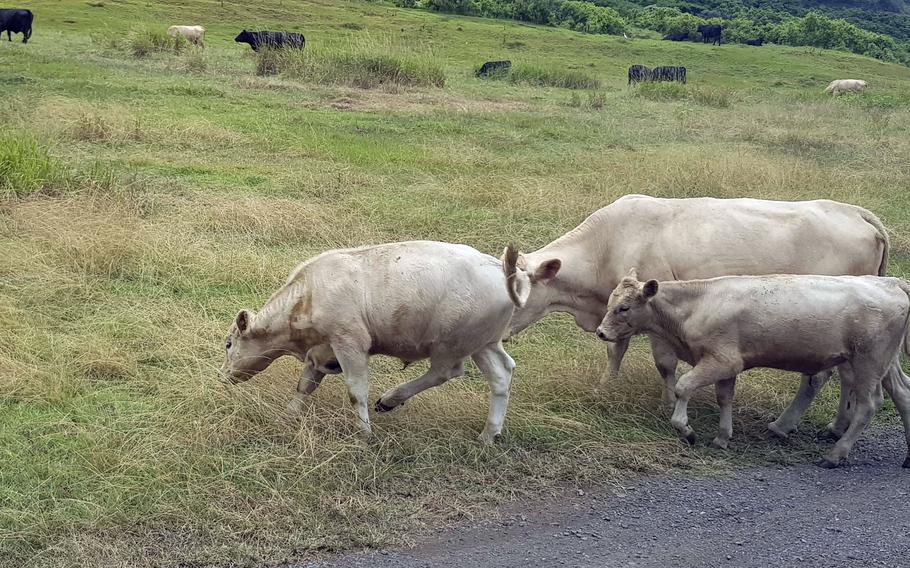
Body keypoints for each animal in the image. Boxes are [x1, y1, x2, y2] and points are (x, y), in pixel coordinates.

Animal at [220, 240, 528, 444]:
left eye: (228, 344)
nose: (223, 376)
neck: (308, 294)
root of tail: (501, 269)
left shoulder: (349, 343)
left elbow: (356, 392)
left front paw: (364, 433)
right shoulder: (321, 351)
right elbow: (305, 385)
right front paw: (290, 414)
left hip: (450, 345)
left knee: (444, 372)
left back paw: (391, 399)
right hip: (483, 343)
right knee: (502, 374)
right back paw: (489, 434)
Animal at [506, 193, 892, 432]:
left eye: (515, 294)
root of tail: (854, 212)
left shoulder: (655, 315)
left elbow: (664, 364)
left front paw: (667, 402)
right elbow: (615, 349)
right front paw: (605, 388)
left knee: (823, 377)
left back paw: (787, 424)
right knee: (847, 377)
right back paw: (837, 426)